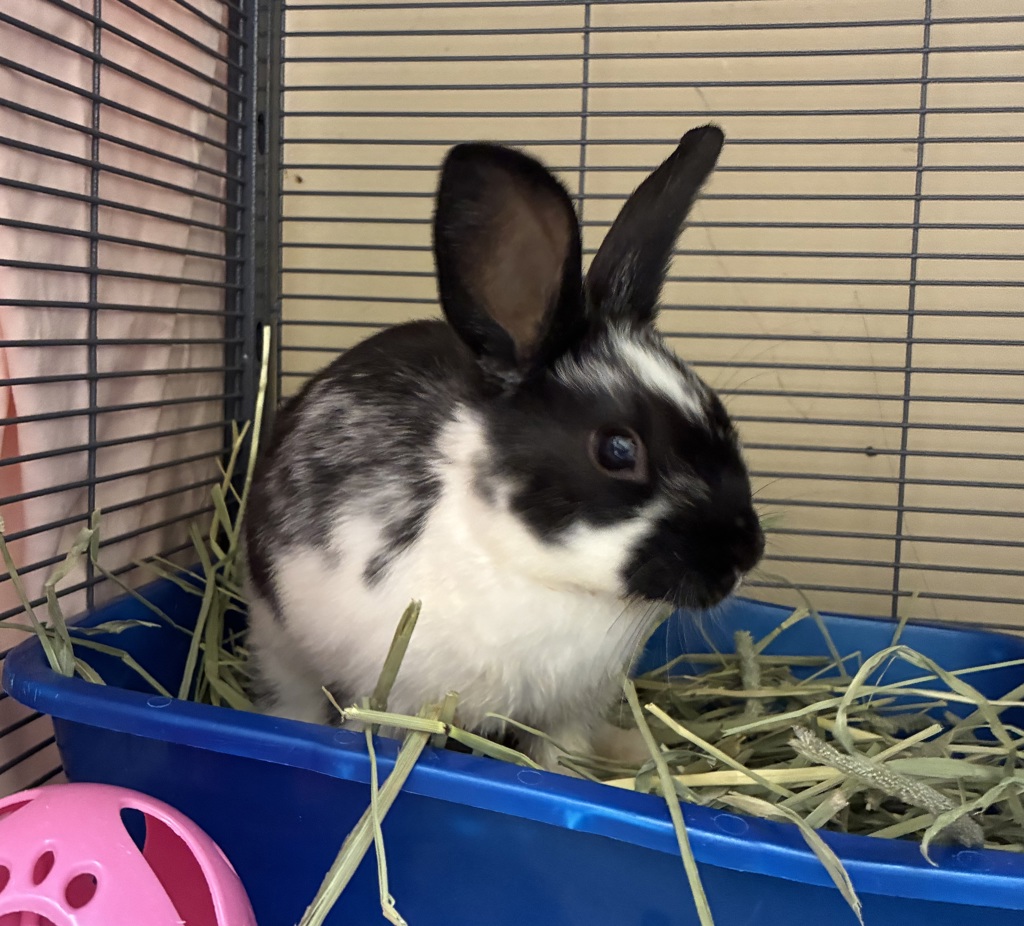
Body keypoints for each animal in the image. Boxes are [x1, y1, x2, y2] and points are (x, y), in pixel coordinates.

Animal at [242, 123, 765, 773]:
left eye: (719, 411)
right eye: (618, 450)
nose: (745, 554)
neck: (539, 570)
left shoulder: (567, 714)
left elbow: (559, 760)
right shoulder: (393, 694)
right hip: (275, 637)